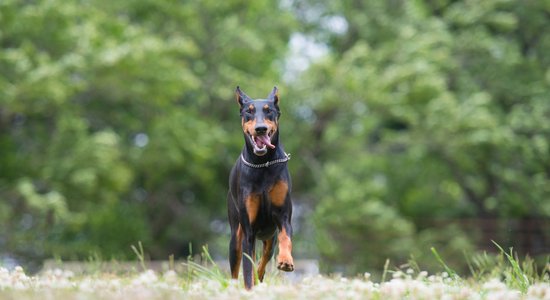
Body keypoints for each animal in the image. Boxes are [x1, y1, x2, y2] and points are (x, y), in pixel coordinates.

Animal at [226, 86, 296, 288]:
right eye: (249, 112)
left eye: (268, 111)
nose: (260, 128)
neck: (263, 164)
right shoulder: (248, 230)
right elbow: (247, 270)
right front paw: (249, 289)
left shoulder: (283, 215)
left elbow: (286, 238)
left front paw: (286, 261)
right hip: (235, 235)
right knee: (236, 269)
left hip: (269, 237)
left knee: (264, 258)